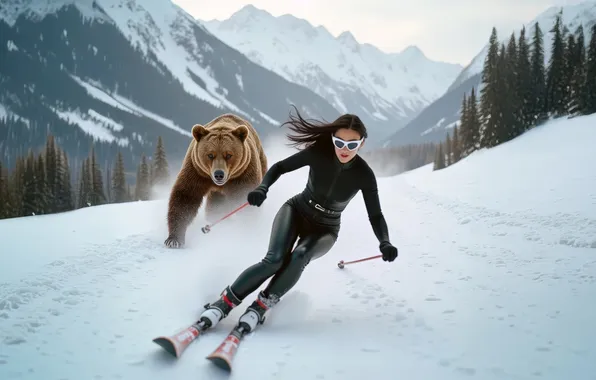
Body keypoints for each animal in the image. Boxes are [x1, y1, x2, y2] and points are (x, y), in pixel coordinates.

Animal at [163, 113, 266, 249]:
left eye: (229, 155)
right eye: (210, 155)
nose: (219, 174)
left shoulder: (243, 173)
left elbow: (244, 197)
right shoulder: (196, 170)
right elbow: (185, 196)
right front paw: (174, 239)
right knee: (215, 203)